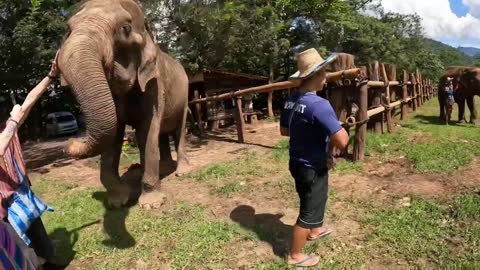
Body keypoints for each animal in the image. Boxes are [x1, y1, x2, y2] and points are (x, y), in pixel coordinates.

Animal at [57, 0, 188, 209]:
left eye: (125, 28)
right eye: (68, 29)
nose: (69, 141)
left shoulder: (154, 83)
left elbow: (147, 130)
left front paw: (151, 204)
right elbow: (114, 133)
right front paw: (118, 201)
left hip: (185, 96)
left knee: (179, 129)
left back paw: (182, 171)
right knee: (162, 134)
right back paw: (165, 168)